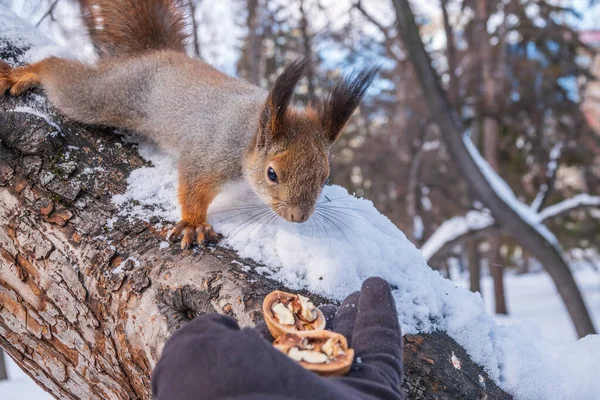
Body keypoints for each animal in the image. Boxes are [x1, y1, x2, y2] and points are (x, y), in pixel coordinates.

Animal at [0, 0, 376, 248]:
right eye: (272, 174)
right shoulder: (208, 154)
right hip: (106, 96)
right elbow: (193, 186)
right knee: (60, 75)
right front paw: (195, 224)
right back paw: (24, 74)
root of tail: (154, 53)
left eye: (325, 177)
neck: (248, 133)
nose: (299, 217)